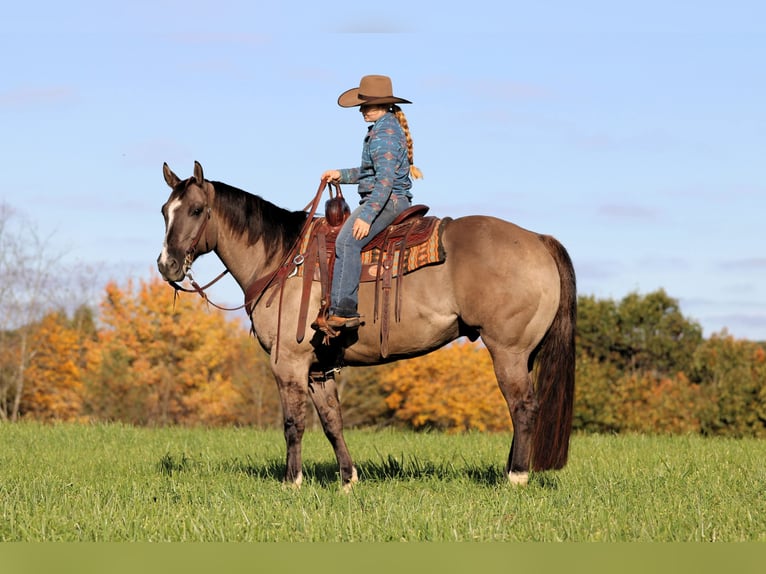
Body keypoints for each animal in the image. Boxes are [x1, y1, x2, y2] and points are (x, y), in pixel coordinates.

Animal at [157, 161, 576, 489]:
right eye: (164, 210)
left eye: (196, 210)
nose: (167, 265)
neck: (282, 259)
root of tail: (539, 240)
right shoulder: (319, 369)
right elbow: (332, 422)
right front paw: (348, 479)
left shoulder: (287, 363)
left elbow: (293, 422)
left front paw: (292, 481)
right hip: (525, 355)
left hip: (509, 351)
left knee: (523, 407)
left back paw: (516, 477)